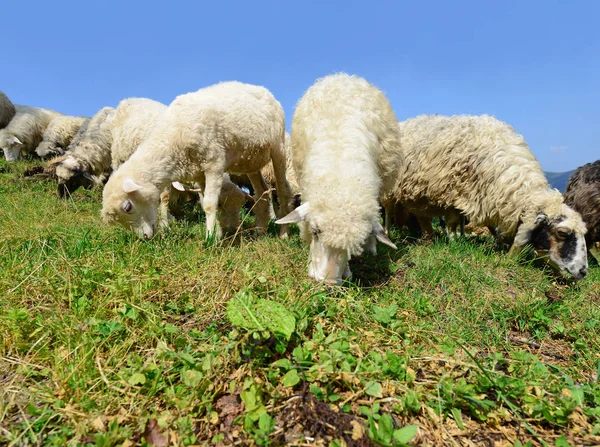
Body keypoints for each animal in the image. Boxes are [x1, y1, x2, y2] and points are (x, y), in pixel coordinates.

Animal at [101, 80, 292, 242]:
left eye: (128, 207)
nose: (146, 238)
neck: (173, 138)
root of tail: (262, 89)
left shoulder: (214, 163)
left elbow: (208, 204)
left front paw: (210, 239)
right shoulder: (199, 173)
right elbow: (206, 202)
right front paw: (216, 233)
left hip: (278, 149)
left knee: (283, 190)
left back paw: (283, 234)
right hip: (251, 161)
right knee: (262, 191)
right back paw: (260, 230)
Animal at [386, 115, 588, 282]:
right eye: (562, 233)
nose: (583, 272)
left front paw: (499, 243)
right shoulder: (455, 195)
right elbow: (452, 224)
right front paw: (454, 244)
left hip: (416, 194)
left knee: (421, 216)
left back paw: (428, 237)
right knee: (389, 213)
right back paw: (390, 235)